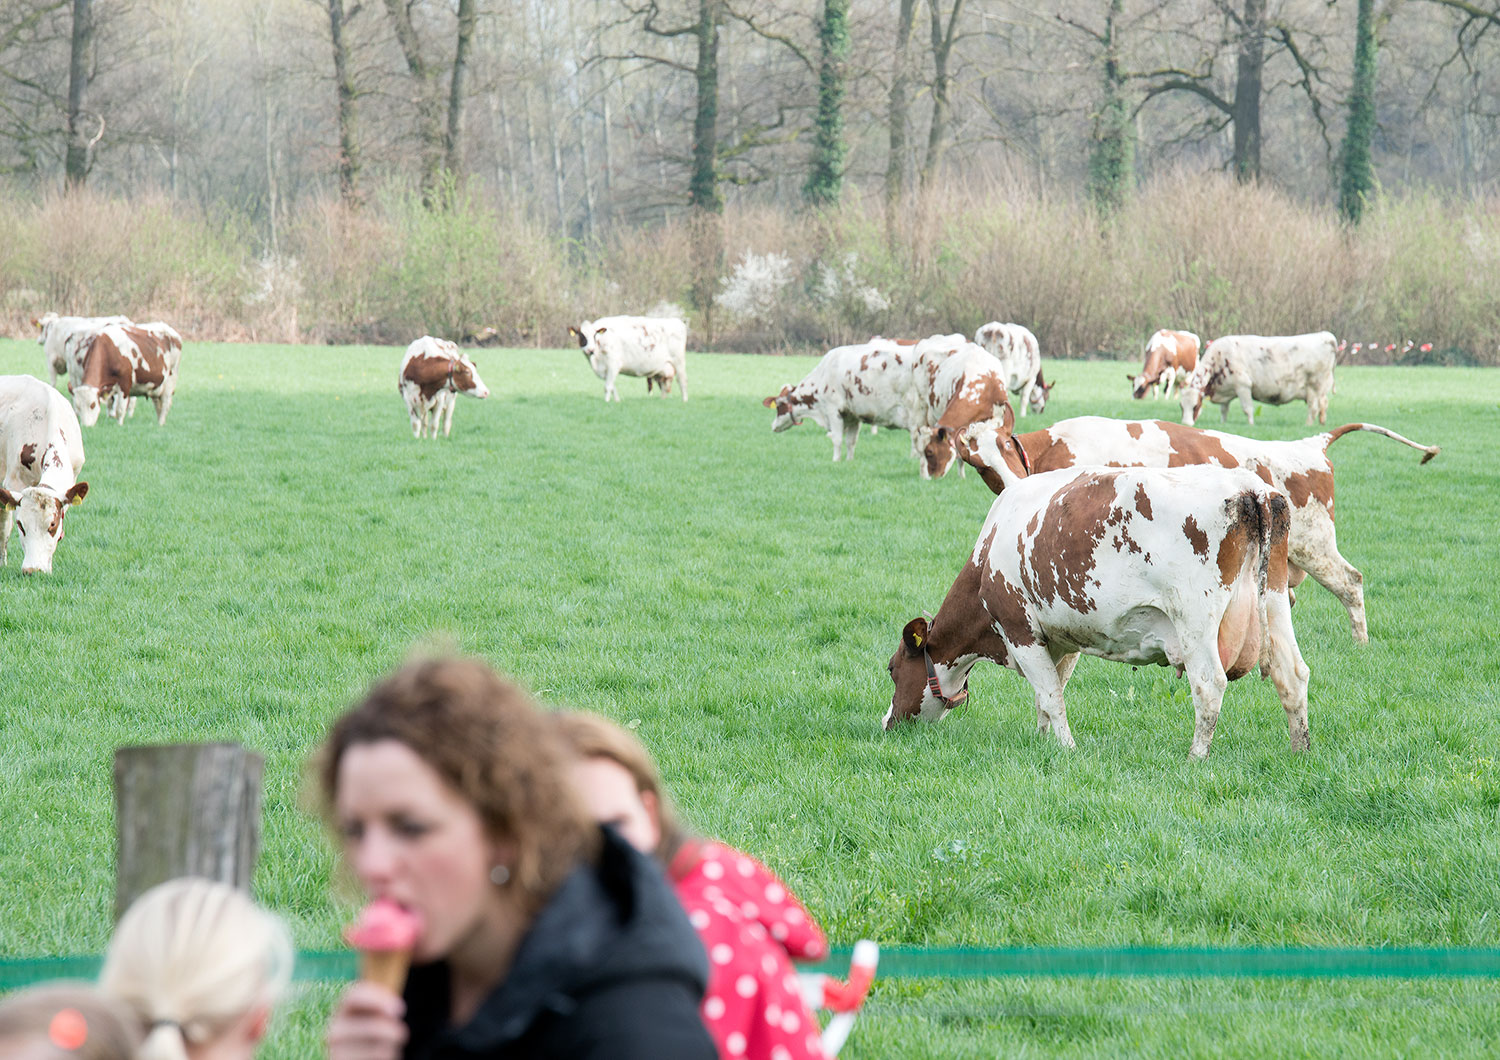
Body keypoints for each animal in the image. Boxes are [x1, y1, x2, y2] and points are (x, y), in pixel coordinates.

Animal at [885, 417, 1311, 759]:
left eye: (892, 669)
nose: (889, 724)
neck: (989, 552)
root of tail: (1250, 488)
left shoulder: (1019, 629)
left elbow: (1051, 696)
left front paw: (1066, 748)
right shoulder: (1061, 636)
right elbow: (1049, 693)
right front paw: (1043, 739)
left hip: (1195, 620)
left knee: (1209, 684)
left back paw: (1196, 757)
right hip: (1274, 601)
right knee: (1292, 674)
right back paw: (1299, 750)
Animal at [955, 415, 1440, 644]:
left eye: (1004, 448)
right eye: (978, 465)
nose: (1014, 487)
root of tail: (1310, 445)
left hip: (1315, 545)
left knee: (1350, 582)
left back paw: (1361, 645)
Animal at [1179, 332, 1337, 426]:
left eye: (1196, 406)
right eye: (1181, 407)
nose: (1186, 424)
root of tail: (1325, 336)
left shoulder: (1243, 385)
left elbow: (1247, 408)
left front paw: (1251, 424)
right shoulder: (1226, 389)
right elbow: (1224, 410)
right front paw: (1223, 423)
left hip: (1314, 386)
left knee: (1313, 407)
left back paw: (1307, 424)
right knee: (1324, 404)